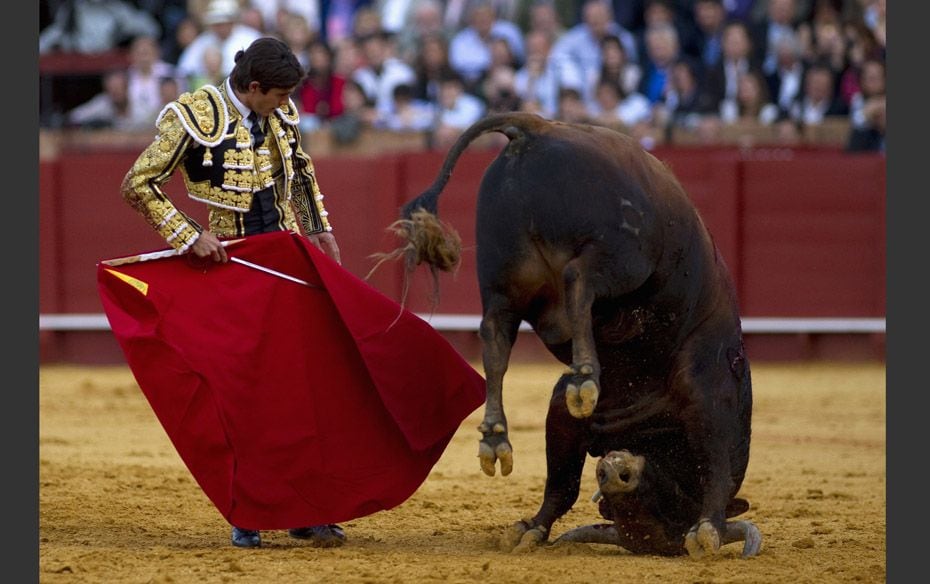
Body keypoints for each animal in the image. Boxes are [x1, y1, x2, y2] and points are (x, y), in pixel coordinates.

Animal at [376, 113, 760, 556]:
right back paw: (585, 375)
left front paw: (530, 527)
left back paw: (495, 437)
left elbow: (562, 482)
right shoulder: (709, 392)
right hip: (624, 255)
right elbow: (713, 465)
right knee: (579, 280)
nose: (616, 473)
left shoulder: (562, 410)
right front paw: (709, 527)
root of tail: (539, 126)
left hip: (503, 276)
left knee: (495, 334)